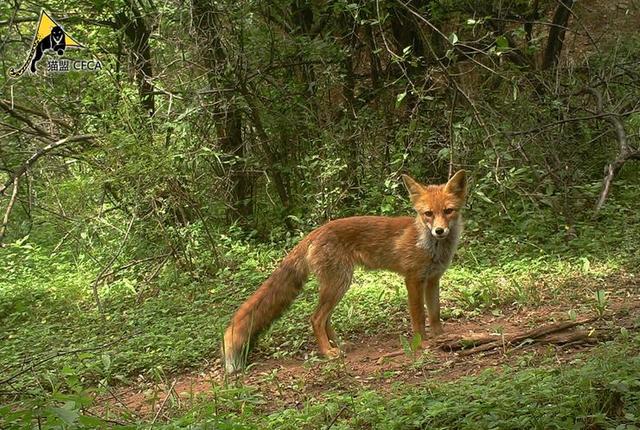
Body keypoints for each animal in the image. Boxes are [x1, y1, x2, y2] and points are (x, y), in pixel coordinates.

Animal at [222, 169, 468, 372]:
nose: (439, 231)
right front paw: (422, 343)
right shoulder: (413, 279)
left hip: (338, 284)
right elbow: (419, 316)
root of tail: (316, 231)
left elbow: (435, 314)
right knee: (316, 318)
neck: (431, 246)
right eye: (428, 214)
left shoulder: (433, 278)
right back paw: (328, 352)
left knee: (325, 319)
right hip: (339, 283)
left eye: (448, 211)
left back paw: (338, 344)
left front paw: (441, 337)